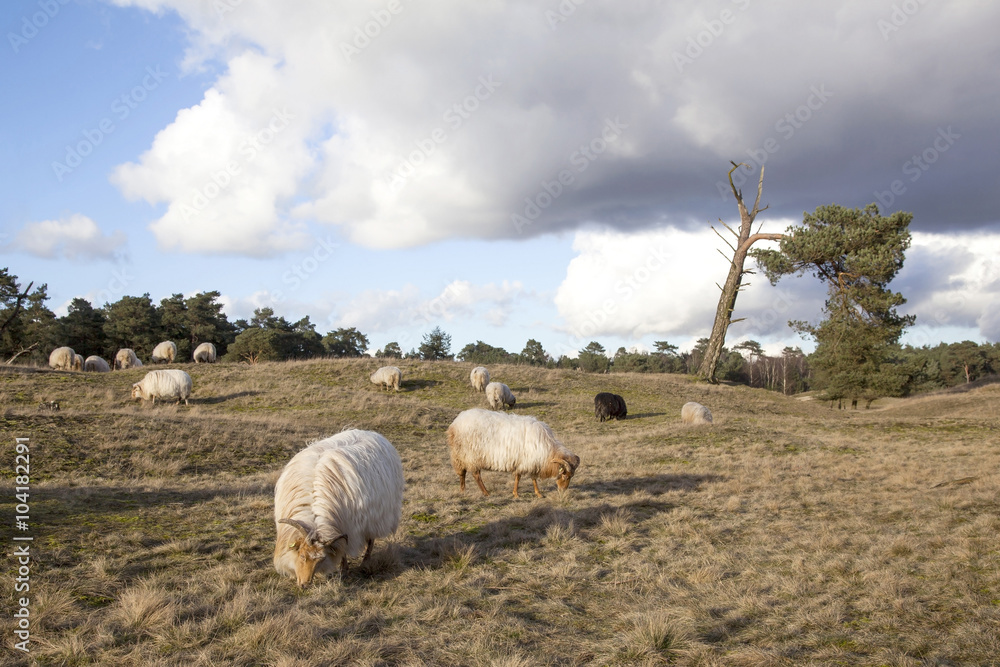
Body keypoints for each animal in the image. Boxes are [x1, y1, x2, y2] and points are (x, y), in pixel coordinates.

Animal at [274, 430, 402, 588]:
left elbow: (343, 551)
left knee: (371, 539)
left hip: (376, 516)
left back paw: (365, 562)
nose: (305, 585)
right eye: (302, 555)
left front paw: (344, 570)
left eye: (321, 560)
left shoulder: (347, 527)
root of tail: (371, 433)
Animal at [450, 408, 584, 500]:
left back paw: (463, 490)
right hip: (470, 455)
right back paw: (486, 493)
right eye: (566, 476)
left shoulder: (531, 462)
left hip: (460, 455)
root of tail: (456, 423)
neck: (548, 450)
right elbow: (520, 477)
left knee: (462, 473)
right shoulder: (526, 461)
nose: (563, 491)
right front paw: (516, 494)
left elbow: (532, 478)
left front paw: (538, 493)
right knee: (476, 475)